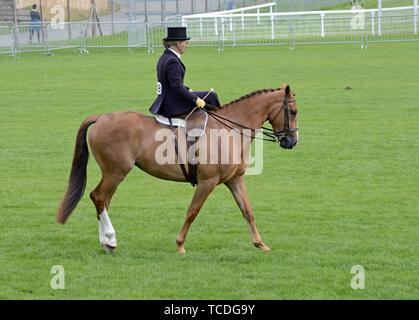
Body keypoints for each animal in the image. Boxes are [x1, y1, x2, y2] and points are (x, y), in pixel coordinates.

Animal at [56, 84, 298, 252]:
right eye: (294, 111)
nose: (292, 142)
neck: (229, 130)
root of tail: (101, 118)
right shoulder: (207, 182)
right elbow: (193, 211)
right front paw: (180, 244)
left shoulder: (234, 179)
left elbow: (247, 210)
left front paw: (260, 244)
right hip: (115, 173)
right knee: (99, 197)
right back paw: (110, 241)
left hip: (113, 174)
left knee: (103, 201)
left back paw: (105, 241)